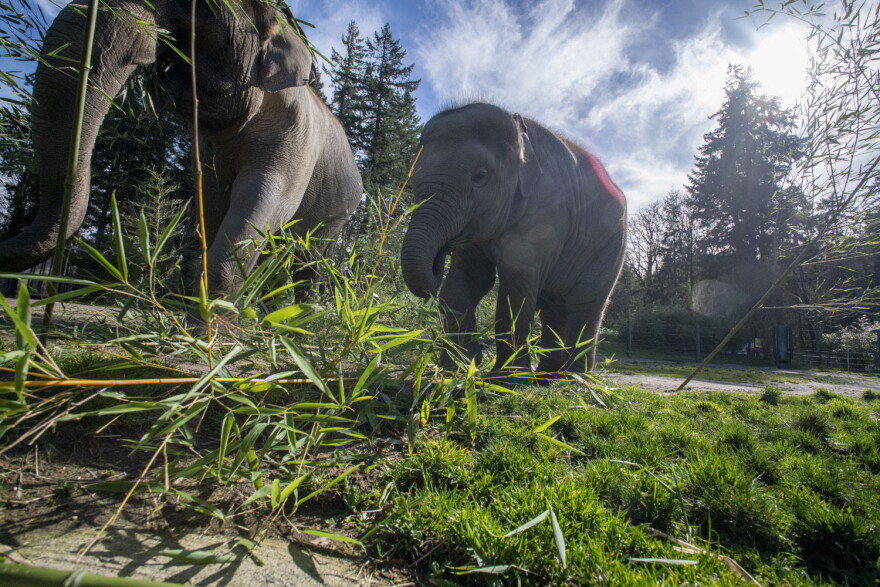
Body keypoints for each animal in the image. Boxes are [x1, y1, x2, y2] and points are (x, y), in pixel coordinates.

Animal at [0, 0, 361, 295]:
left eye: (207, 10)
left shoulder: (296, 137)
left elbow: (265, 199)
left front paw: (208, 326)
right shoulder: (209, 149)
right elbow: (214, 207)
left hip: (337, 215)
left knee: (309, 264)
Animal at [400, 102, 627, 376]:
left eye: (480, 176)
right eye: (410, 178)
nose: (439, 257)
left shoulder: (547, 210)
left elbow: (515, 289)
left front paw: (507, 378)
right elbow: (466, 281)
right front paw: (459, 368)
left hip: (610, 248)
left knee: (586, 303)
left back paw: (573, 378)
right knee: (552, 307)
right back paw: (546, 377)